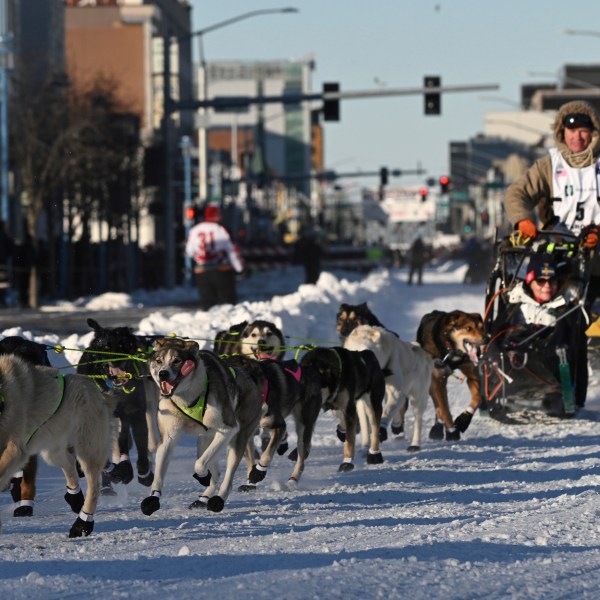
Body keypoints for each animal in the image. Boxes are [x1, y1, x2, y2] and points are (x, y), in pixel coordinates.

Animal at [0, 354, 115, 536]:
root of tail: (100, 393)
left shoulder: (15, 449)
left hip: (87, 450)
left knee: (94, 486)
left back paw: (82, 523)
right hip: (52, 451)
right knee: (69, 465)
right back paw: (75, 498)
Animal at [142, 338, 264, 516]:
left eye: (177, 361)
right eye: (158, 361)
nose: (162, 373)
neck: (187, 397)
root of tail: (249, 377)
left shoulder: (228, 429)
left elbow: (199, 464)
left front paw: (203, 476)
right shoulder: (168, 438)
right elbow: (158, 475)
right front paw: (153, 498)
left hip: (237, 439)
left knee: (226, 476)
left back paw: (218, 498)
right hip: (205, 439)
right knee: (214, 468)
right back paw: (203, 498)